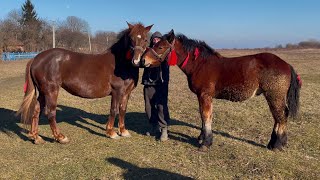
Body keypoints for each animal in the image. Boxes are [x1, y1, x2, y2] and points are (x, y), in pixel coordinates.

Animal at [16, 22, 154, 144]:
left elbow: (122, 109)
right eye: (131, 38)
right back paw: (60, 137)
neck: (120, 63)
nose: (136, 61)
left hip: (43, 92)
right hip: (51, 91)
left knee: (37, 110)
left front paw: (123, 131)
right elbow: (114, 110)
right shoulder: (117, 91)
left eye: (146, 39)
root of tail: (35, 59)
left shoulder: (126, 93)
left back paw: (36, 137)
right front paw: (111, 132)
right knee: (50, 112)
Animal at [141, 30, 302, 151]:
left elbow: (206, 116)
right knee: (279, 117)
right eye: (155, 44)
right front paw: (201, 138)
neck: (200, 64)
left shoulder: (205, 95)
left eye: (160, 47)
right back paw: (274, 143)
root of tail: (286, 64)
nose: (143, 60)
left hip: (274, 96)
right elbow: (203, 116)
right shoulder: (202, 96)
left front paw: (206, 143)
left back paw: (277, 144)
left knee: (280, 117)